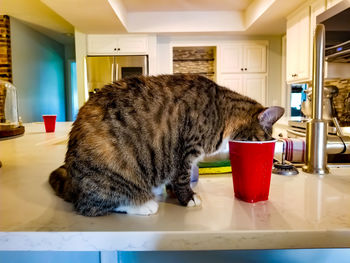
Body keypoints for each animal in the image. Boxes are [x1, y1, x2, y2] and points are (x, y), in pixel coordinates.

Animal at [49, 73, 284, 217]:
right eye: (264, 140)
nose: (271, 144)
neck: (222, 112)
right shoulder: (186, 150)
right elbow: (182, 177)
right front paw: (187, 197)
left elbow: (174, 177)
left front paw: (172, 192)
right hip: (111, 170)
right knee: (91, 206)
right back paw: (143, 204)